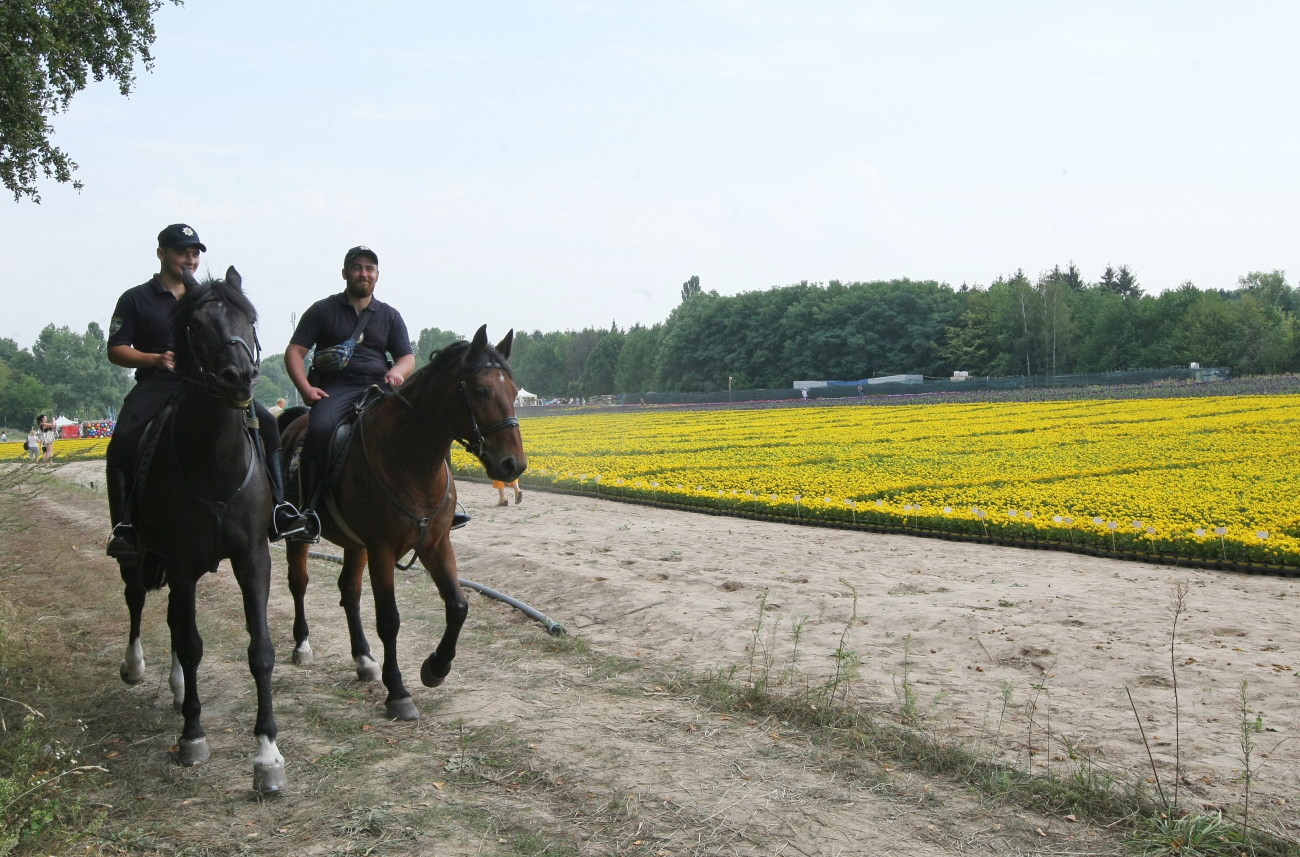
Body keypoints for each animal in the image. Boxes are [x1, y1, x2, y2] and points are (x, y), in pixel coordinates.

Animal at [115, 270, 287, 795]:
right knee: (137, 599)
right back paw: (137, 668)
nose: (239, 377)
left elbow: (261, 651)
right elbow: (191, 645)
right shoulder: (182, 561)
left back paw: (174, 690)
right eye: (195, 324)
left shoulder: (253, 558)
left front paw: (267, 755)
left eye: (250, 319)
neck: (214, 460)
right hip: (137, 554)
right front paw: (192, 736)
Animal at [284, 325, 527, 723]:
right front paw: (397, 691)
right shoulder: (382, 549)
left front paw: (436, 667)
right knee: (299, 583)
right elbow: (389, 619)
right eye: (481, 390)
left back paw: (363, 658)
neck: (410, 459)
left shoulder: (435, 543)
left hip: (356, 545)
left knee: (349, 591)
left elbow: (458, 605)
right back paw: (303, 645)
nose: (513, 465)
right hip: (302, 537)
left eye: (514, 390)